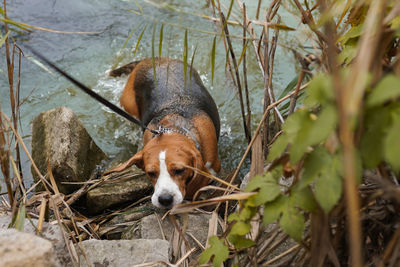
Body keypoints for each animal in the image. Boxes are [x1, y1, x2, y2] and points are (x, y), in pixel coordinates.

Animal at [108, 58, 220, 209]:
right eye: (151, 173)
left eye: (179, 170)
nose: (165, 199)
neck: (174, 127)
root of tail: (151, 59)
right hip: (128, 106)